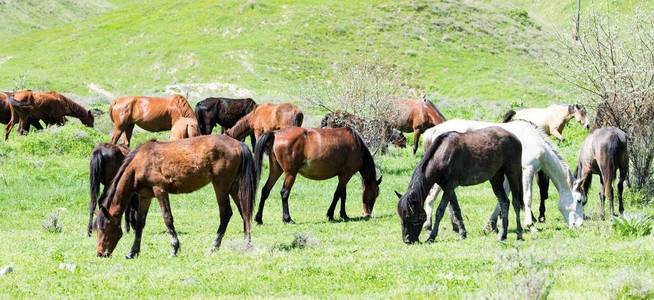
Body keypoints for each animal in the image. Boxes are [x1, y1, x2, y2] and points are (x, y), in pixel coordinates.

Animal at [95, 135, 258, 258]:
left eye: (103, 228)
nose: (100, 253)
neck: (140, 162)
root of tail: (238, 144)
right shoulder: (145, 196)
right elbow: (140, 223)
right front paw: (133, 251)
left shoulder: (160, 191)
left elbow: (167, 218)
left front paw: (174, 248)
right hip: (233, 187)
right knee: (244, 211)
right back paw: (247, 244)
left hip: (221, 186)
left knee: (226, 213)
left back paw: (214, 246)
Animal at [252, 127, 384, 224]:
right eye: (376, 193)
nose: (367, 213)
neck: (356, 145)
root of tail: (275, 134)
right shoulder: (346, 175)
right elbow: (338, 194)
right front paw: (330, 215)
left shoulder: (343, 175)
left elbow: (343, 195)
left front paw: (344, 215)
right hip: (290, 174)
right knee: (284, 193)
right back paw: (287, 219)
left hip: (276, 171)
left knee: (265, 191)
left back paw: (259, 219)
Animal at [422, 119, 588, 232]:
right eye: (579, 200)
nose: (579, 225)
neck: (534, 140)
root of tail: (435, 130)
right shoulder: (527, 170)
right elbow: (527, 198)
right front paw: (530, 225)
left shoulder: (508, 174)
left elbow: (504, 196)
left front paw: (491, 225)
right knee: (431, 197)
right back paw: (429, 225)